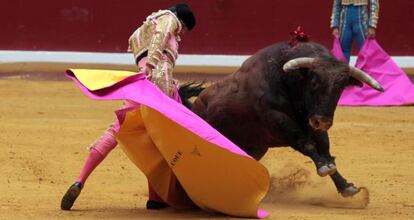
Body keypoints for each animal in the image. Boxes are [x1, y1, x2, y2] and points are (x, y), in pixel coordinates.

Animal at [183, 39, 384, 196]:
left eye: (341, 88)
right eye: (313, 82)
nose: (323, 121)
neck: (289, 82)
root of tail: (196, 105)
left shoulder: (311, 122)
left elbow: (325, 149)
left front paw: (345, 186)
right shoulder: (279, 121)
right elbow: (307, 145)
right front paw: (324, 167)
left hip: (254, 147)